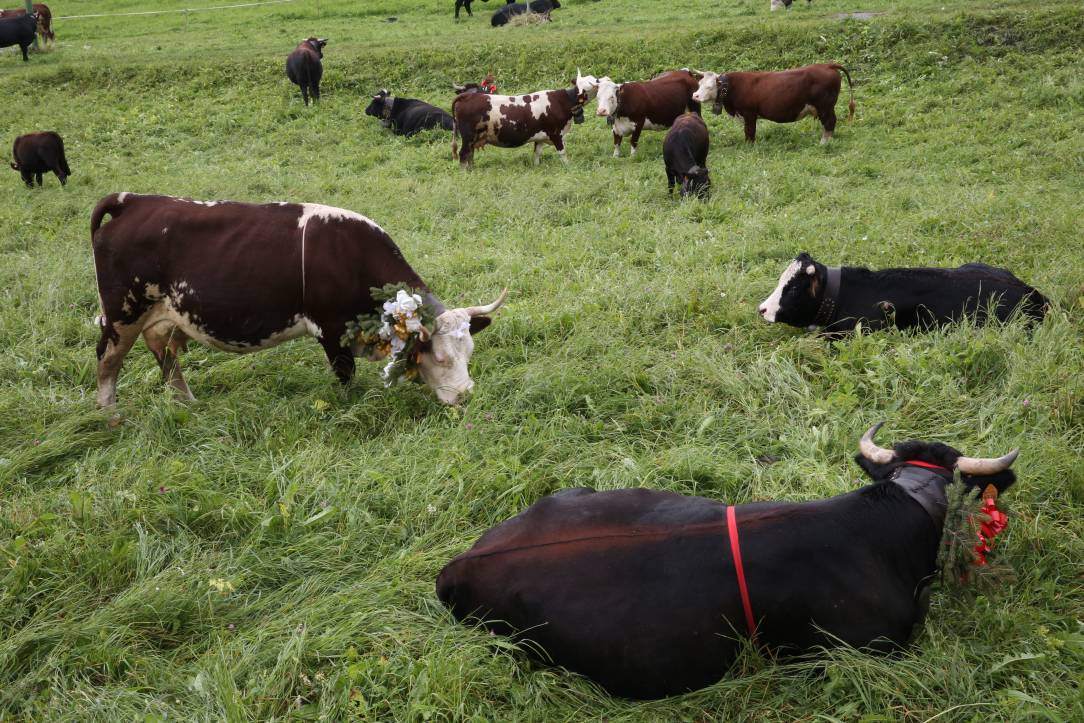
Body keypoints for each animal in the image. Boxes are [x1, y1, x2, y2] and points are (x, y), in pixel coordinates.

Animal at [88, 191, 507, 407]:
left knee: (166, 355)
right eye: (440, 356)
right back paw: (110, 417)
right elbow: (345, 377)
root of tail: (134, 200)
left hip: (166, 316)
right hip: (122, 314)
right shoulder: (331, 330)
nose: (466, 395)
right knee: (107, 362)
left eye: (469, 353)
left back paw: (186, 404)